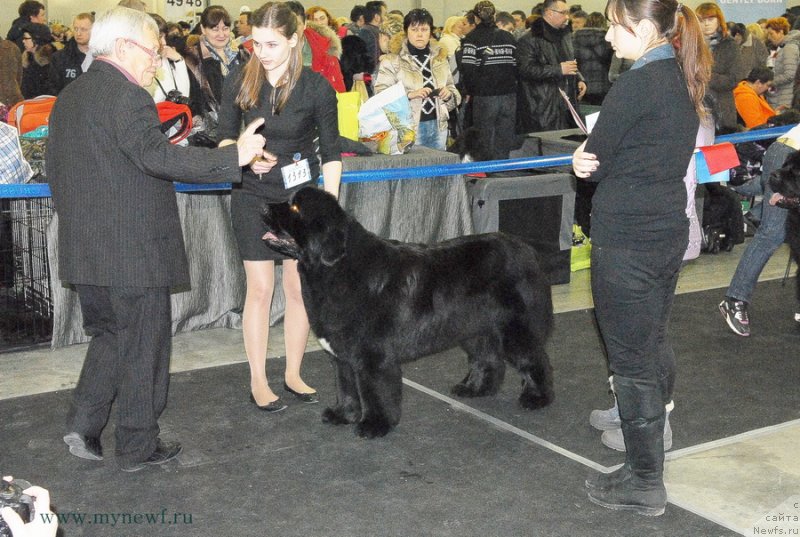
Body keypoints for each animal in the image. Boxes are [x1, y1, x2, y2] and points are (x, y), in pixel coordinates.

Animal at [262, 186, 556, 438]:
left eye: (295, 208)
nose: (263, 206)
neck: (336, 269)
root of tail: (527, 250)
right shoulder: (342, 356)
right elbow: (345, 387)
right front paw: (343, 415)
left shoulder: (373, 356)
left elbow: (375, 391)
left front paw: (374, 425)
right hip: (474, 327)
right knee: (488, 358)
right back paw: (474, 389)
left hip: (515, 329)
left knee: (536, 360)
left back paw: (536, 398)